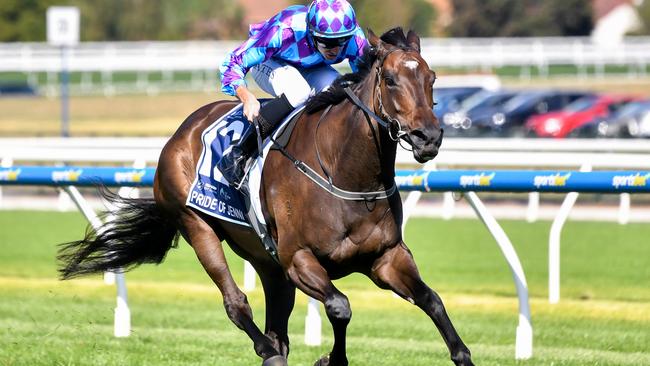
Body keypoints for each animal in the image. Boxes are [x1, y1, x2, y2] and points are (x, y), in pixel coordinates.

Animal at [58, 27, 474, 366]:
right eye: (390, 79)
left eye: (432, 78)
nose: (428, 137)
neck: (349, 175)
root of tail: (182, 131)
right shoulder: (299, 259)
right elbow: (340, 306)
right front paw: (331, 359)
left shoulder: (386, 257)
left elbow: (432, 300)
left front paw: (462, 353)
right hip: (199, 227)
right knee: (237, 304)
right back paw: (267, 350)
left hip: (266, 261)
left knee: (278, 327)